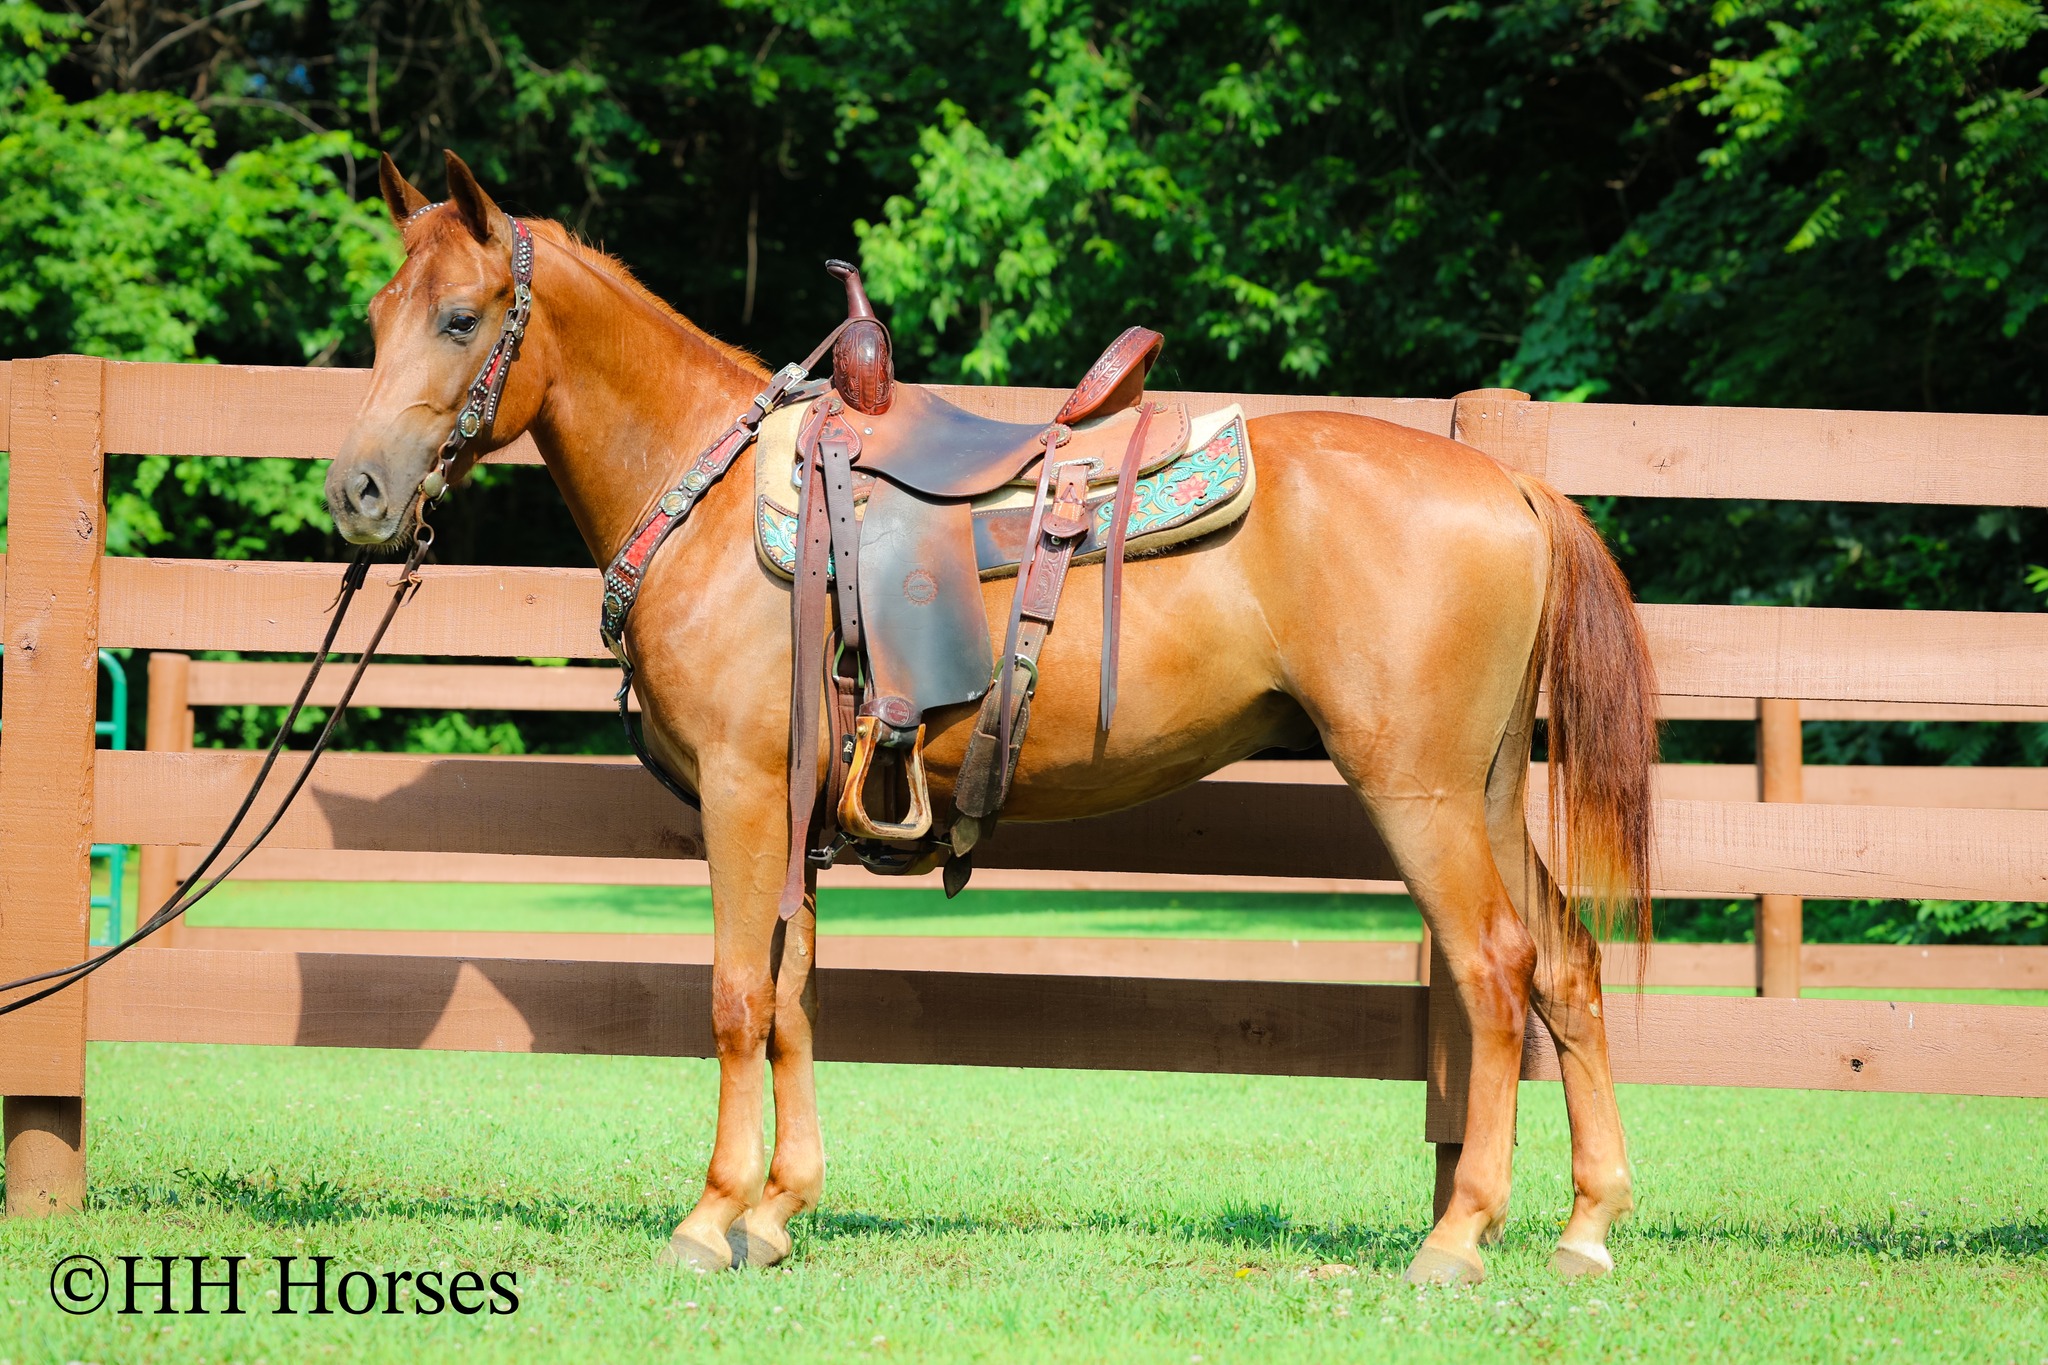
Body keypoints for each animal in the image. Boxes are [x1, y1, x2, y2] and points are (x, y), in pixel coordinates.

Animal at [326, 151, 1659, 1286]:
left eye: (460, 318)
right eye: (380, 316)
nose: (358, 493)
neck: (707, 495)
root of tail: (1508, 482)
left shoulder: (743, 791)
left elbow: (736, 997)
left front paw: (709, 1220)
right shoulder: (795, 808)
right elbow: (793, 994)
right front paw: (776, 1211)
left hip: (1415, 789)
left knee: (1493, 969)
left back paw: (1459, 1236)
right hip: (1485, 786)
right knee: (1566, 964)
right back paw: (1584, 1229)